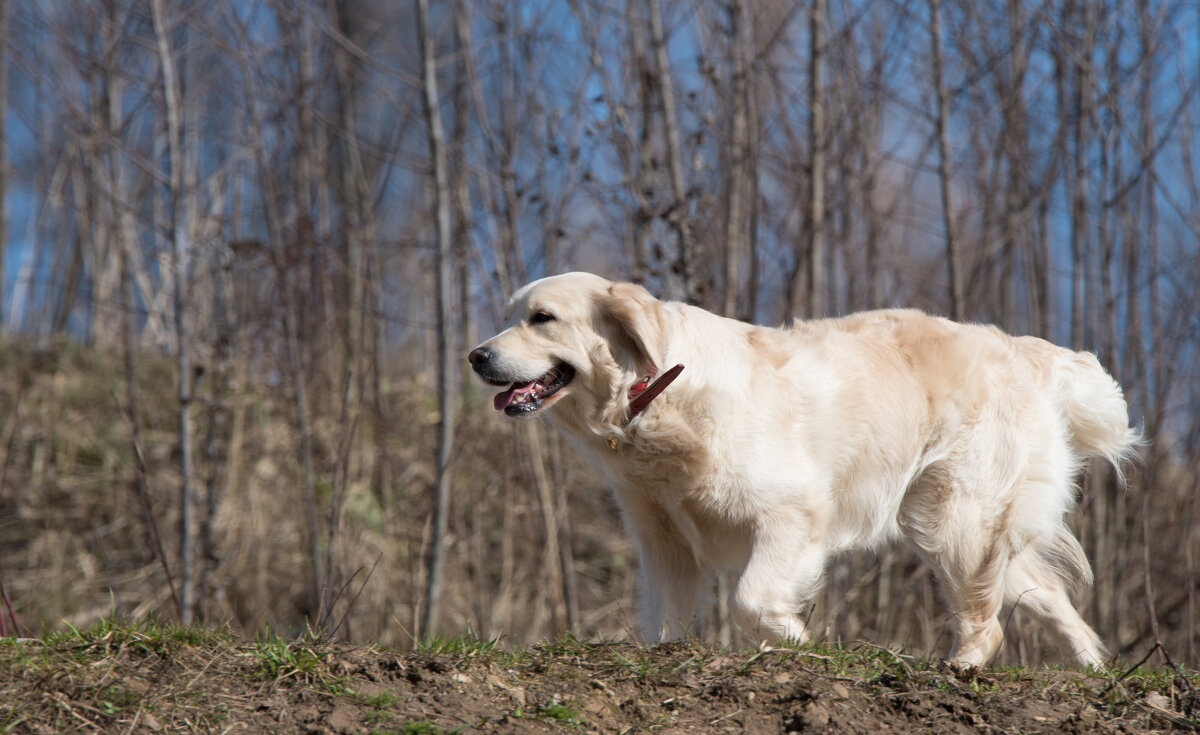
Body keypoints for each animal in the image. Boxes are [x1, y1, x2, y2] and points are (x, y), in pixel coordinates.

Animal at [465, 272, 1132, 667]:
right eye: (512, 315)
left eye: (542, 318)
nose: (475, 355)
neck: (656, 393)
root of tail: (1020, 350)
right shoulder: (662, 540)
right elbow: (666, 620)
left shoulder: (790, 517)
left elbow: (750, 600)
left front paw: (794, 641)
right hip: (968, 529)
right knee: (1044, 596)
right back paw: (1091, 669)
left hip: (955, 522)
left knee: (987, 622)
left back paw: (959, 668)